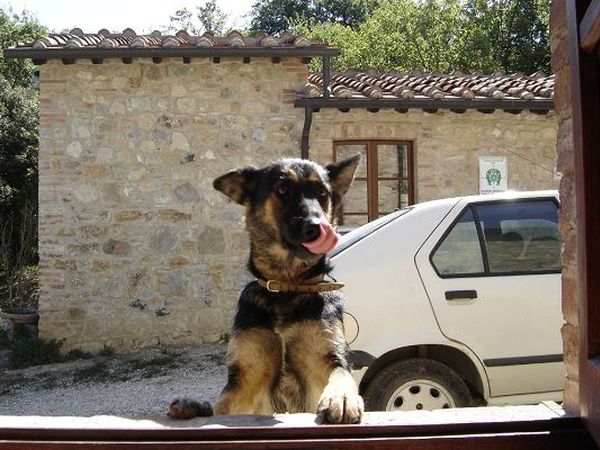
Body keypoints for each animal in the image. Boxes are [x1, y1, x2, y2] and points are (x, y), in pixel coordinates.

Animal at [170, 155, 366, 426]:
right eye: (282, 190)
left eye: (322, 193)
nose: (317, 227)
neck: (285, 289)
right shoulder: (245, 377)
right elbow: (222, 406)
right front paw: (201, 407)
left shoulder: (329, 358)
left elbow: (341, 375)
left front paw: (342, 397)